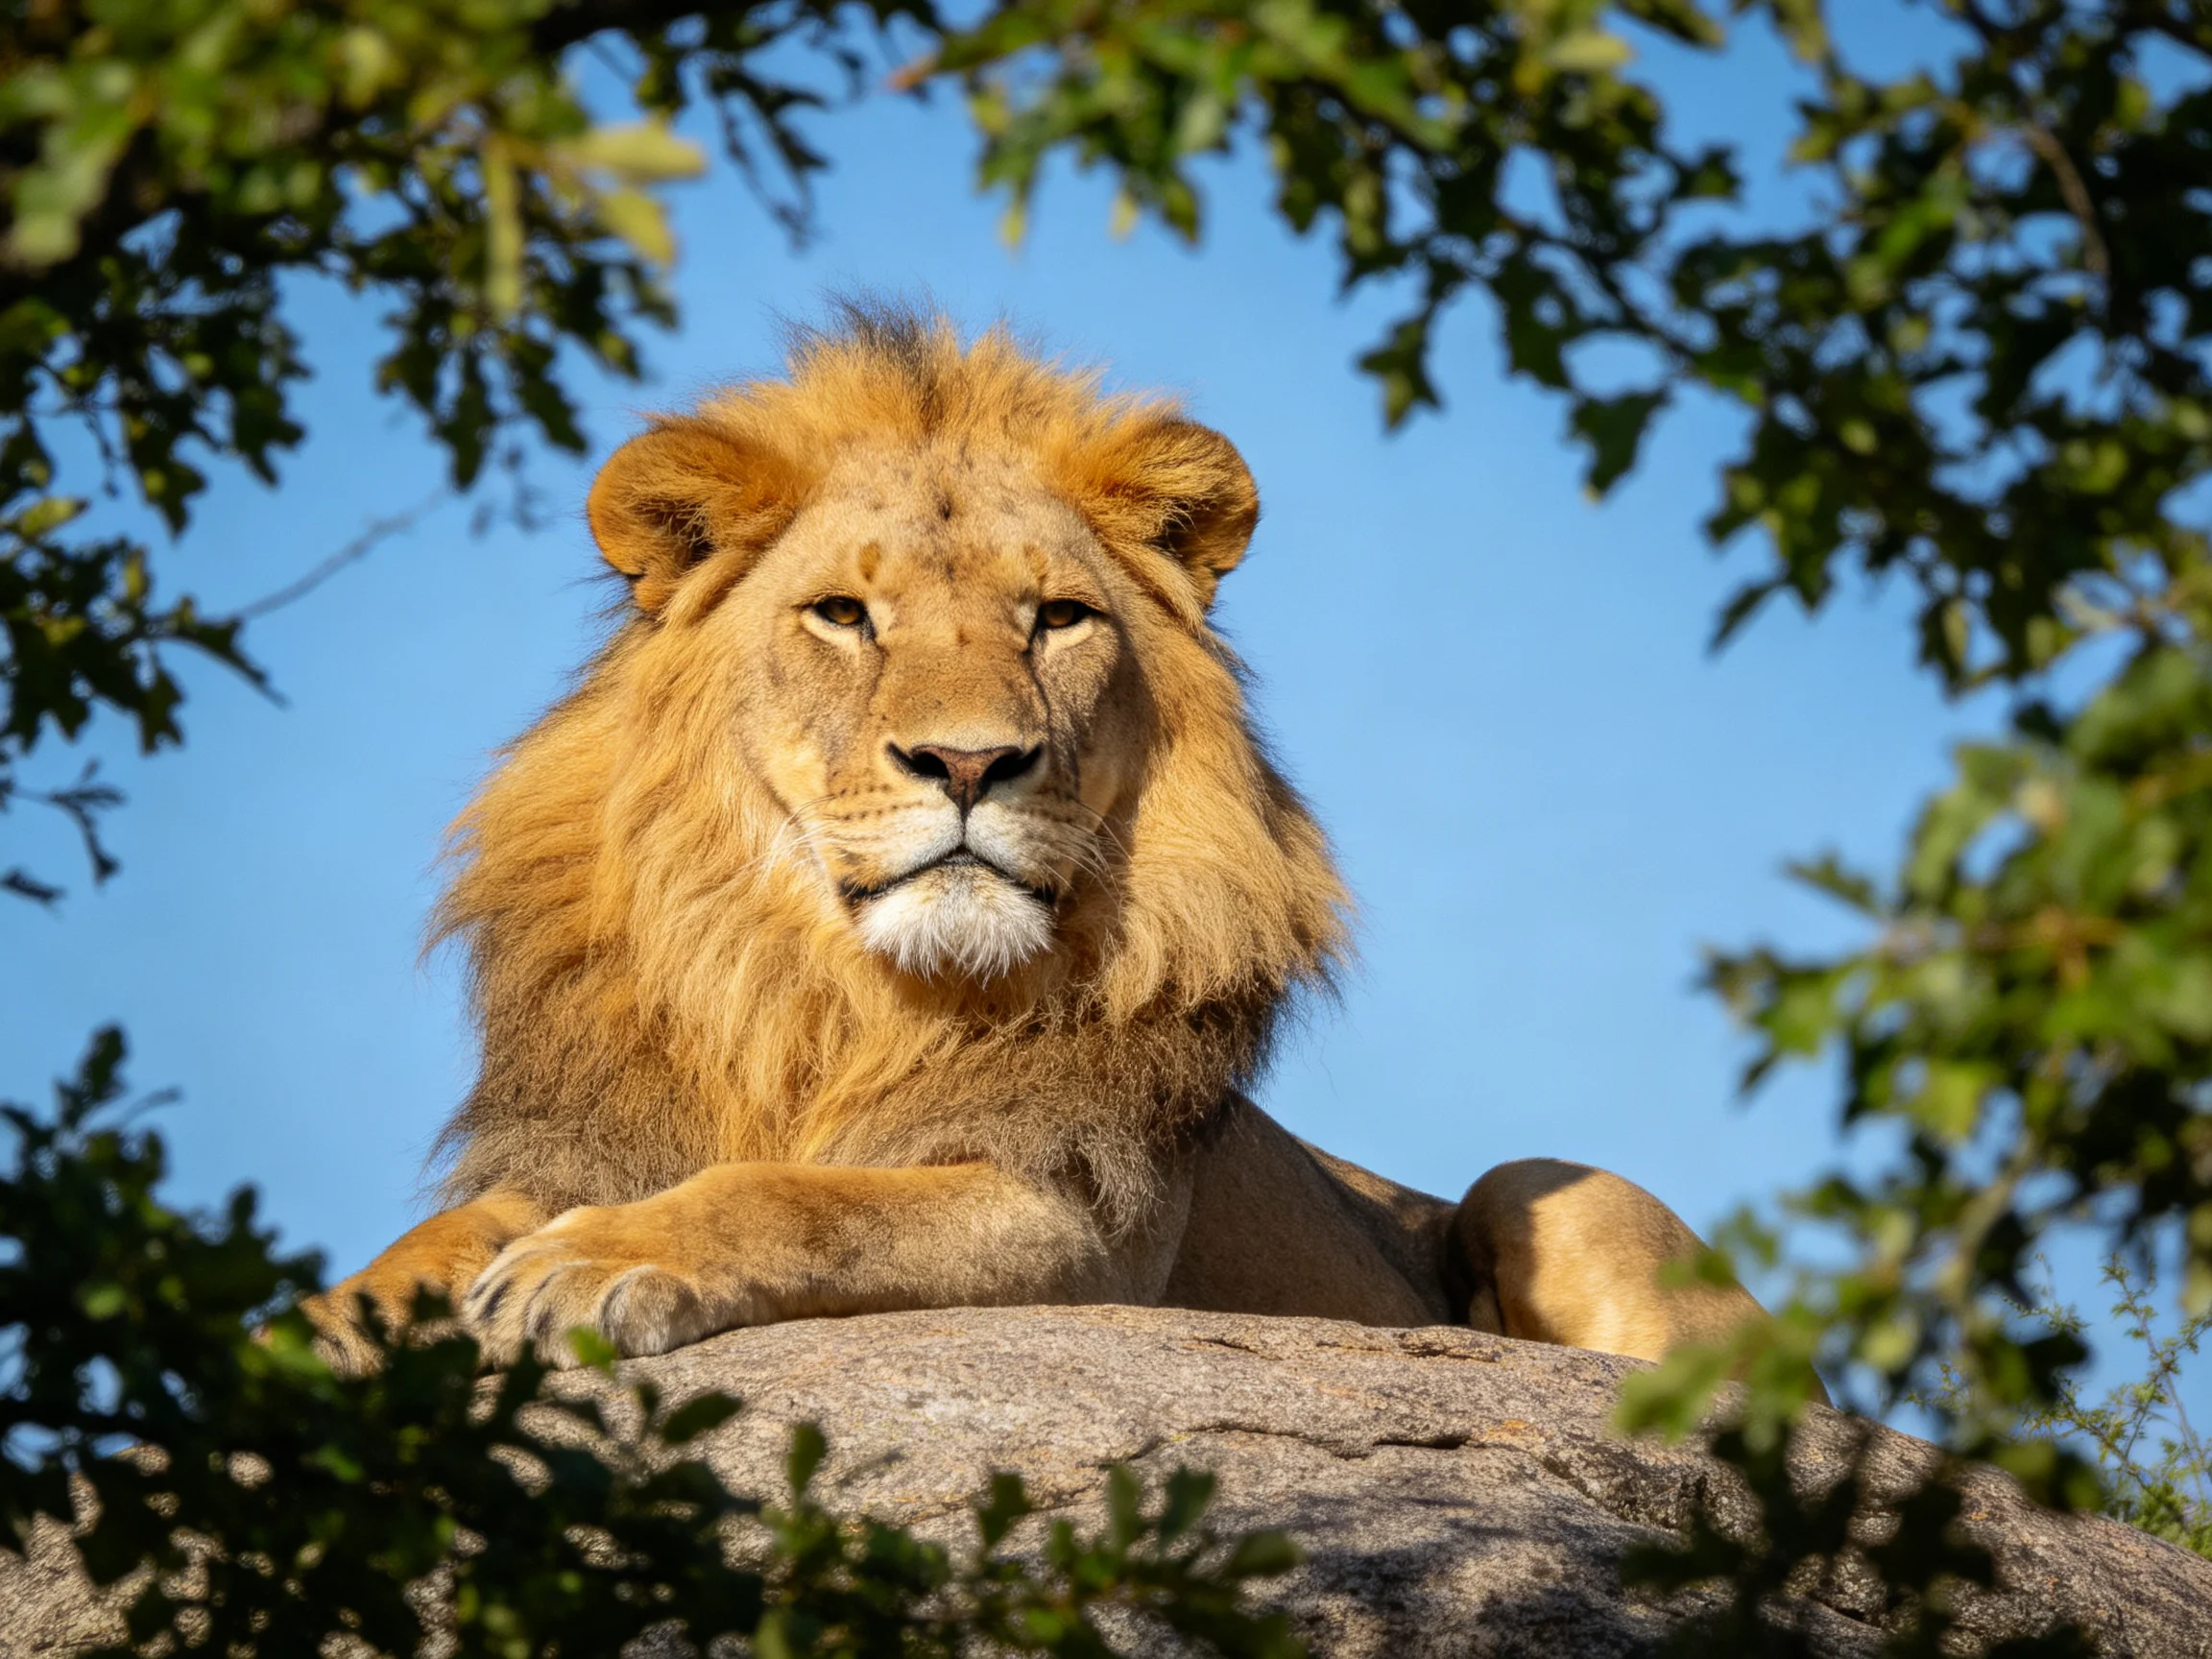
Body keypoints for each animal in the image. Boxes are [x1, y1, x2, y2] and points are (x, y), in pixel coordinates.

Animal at [314, 303, 1794, 1383]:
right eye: (843, 615)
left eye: (1059, 618)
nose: (972, 762)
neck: (821, 993)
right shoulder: (576, 1147)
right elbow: (433, 1239)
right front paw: (334, 1327)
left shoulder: (1075, 1220)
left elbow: (805, 1197)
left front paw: (596, 1263)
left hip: (1558, 1190)